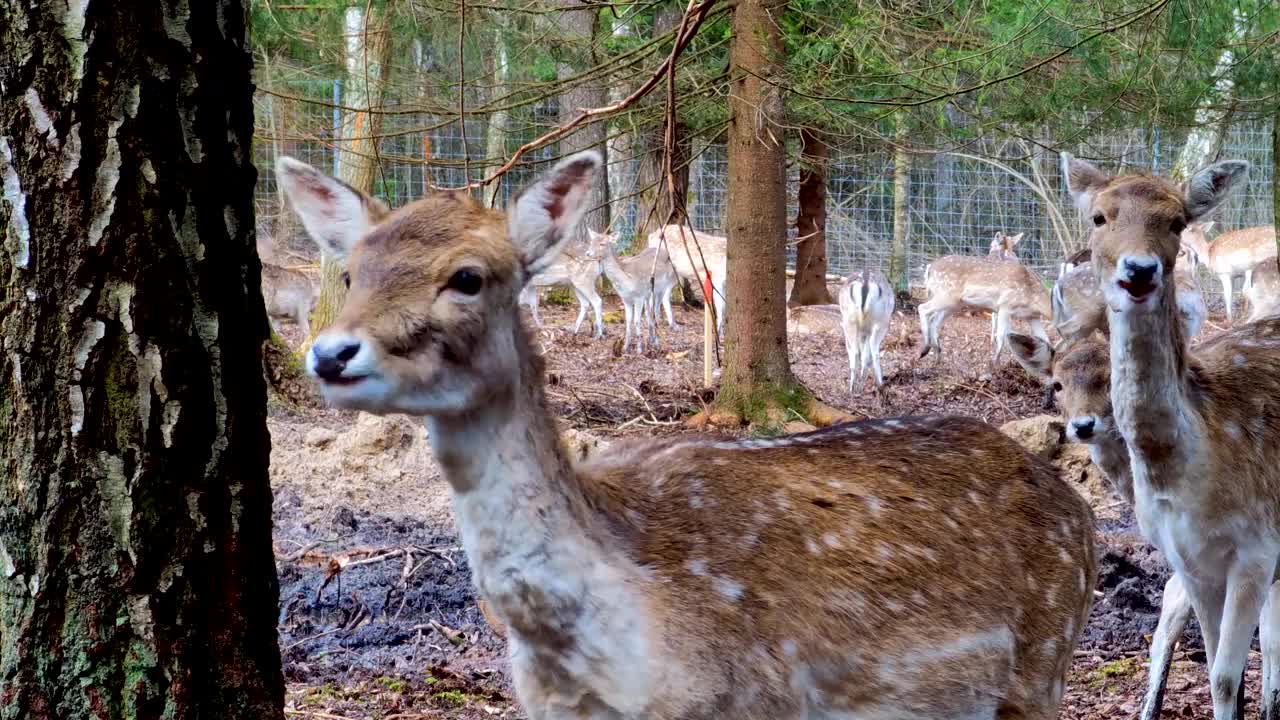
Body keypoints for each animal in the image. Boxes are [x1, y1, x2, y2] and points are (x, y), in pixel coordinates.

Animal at [282, 149, 1100, 717]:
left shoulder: (753, 699)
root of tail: (1077, 509)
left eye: (469, 277)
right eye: (351, 272)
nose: (330, 353)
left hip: (1045, 664)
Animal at [1064, 152, 1280, 717]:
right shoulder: (1190, 563)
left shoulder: (1258, 550)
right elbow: (1219, 672)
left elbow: (1224, 677)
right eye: (1099, 216)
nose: (1140, 269)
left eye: (1177, 221)